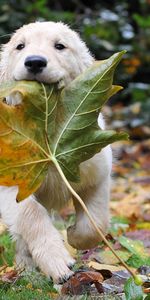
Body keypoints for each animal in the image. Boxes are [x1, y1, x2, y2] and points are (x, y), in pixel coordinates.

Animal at [0, 22, 111, 282]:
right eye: (20, 46)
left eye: (60, 46)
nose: (35, 62)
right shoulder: (10, 181)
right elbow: (30, 214)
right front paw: (57, 261)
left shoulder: (97, 171)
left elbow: (96, 221)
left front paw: (74, 236)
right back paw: (26, 269)